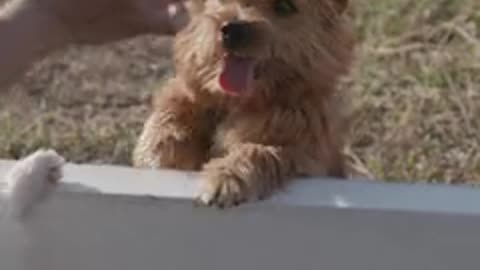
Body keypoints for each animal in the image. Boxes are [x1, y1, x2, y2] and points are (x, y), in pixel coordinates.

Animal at [133, 0, 354, 209]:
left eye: (285, 6)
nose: (232, 30)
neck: (236, 103)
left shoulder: (306, 154)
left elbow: (262, 151)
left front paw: (226, 177)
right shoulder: (185, 96)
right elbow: (167, 118)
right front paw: (157, 155)